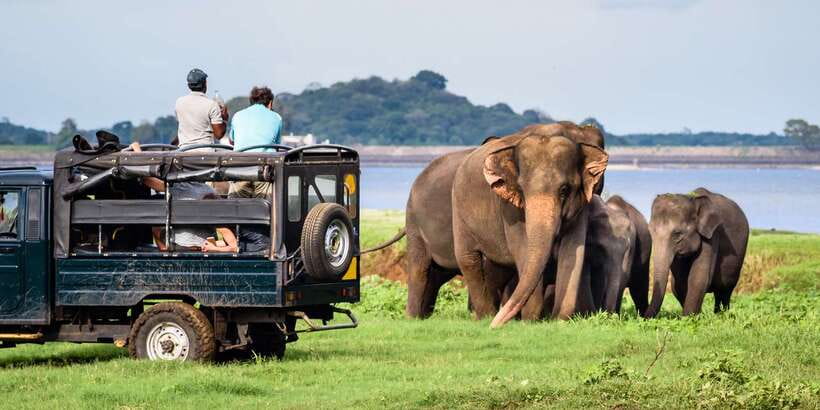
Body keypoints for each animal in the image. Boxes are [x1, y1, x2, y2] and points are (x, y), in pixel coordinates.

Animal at [451, 127, 608, 327]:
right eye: (522, 189)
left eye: (564, 189)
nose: (495, 326)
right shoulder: (510, 209)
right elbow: (524, 251)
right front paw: (530, 322)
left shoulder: (581, 206)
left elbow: (572, 253)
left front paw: (558, 321)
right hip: (459, 212)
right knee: (468, 259)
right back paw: (485, 317)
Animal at [645, 187, 749, 317]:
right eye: (650, 231)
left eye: (677, 233)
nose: (642, 317)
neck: (693, 200)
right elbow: (678, 283)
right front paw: (695, 315)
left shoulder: (712, 235)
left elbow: (698, 277)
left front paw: (689, 317)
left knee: (725, 290)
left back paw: (721, 314)